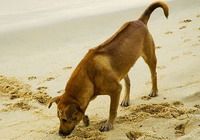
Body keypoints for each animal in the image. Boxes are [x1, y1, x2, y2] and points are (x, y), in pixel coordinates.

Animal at [48, 1, 169, 136]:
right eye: (58, 118)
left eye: (64, 119)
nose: (60, 134)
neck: (89, 76)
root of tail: (139, 21)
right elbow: (84, 108)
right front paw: (85, 119)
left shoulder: (115, 90)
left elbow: (112, 110)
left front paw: (108, 124)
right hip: (122, 67)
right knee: (128, 82)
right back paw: (126, 99)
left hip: (149, 56)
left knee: (154, 74)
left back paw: (154, 90)